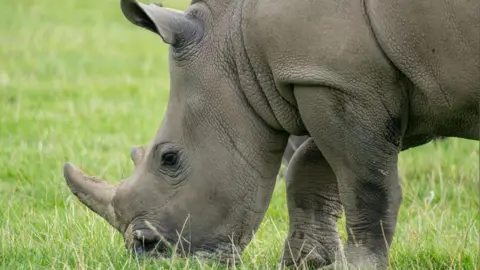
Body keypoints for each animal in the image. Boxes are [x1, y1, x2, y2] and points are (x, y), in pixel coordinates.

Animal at [62, 0, 476, 268]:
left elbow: (365, 186)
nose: (143, 252)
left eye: (169, 158)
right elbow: (310, 166)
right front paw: (306, 262)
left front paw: (361, 265)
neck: (235, 46)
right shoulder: (333, 79)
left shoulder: (340, 80)